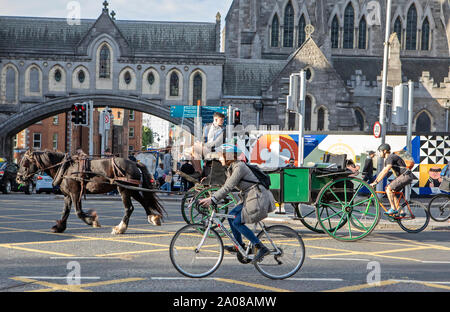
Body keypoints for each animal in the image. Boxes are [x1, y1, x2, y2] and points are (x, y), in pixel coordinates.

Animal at [17, 151, 167, 234]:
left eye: (25, 163)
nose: (18, 178)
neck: (65, 168)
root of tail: (134, 163)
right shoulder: (68, 195)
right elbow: (65, 211)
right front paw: (59, 227)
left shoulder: (75, 193)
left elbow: (78, 212)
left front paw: (92, 221)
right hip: (131, 189)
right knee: (144, 201)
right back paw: (153, 217)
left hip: (124, 189)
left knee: (129, 208)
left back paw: (120, 228)